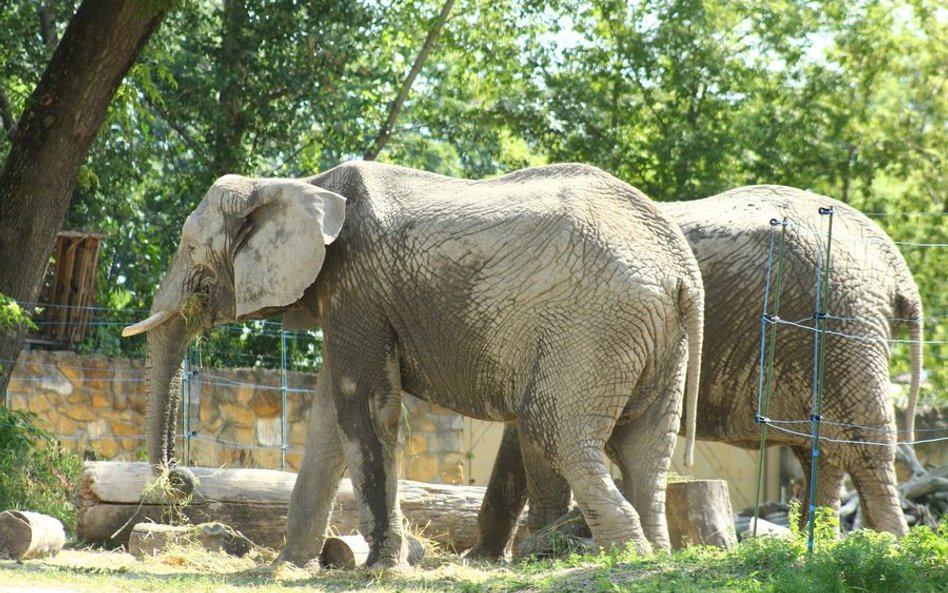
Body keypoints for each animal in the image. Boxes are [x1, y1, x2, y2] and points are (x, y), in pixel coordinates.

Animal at [122, 162, 704, 568]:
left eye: (190, 249)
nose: (180, 481)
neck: (298, 184)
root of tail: (682, 273)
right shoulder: (349, 297)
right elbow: (330, 420)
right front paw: (289, 566)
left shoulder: (357, 285)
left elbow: (365, 409)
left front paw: (380, 568)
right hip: (654, 338)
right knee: (645, 448)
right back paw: (647, 552)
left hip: (594, 326)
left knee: (556, 428)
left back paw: (616, 556)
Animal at [470, 185, 924, 560]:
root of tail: (893, 262)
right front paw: (489, 557)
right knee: (824, 450)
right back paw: (817, 544)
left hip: (844, 325)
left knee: (863, 442)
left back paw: (891, 547)